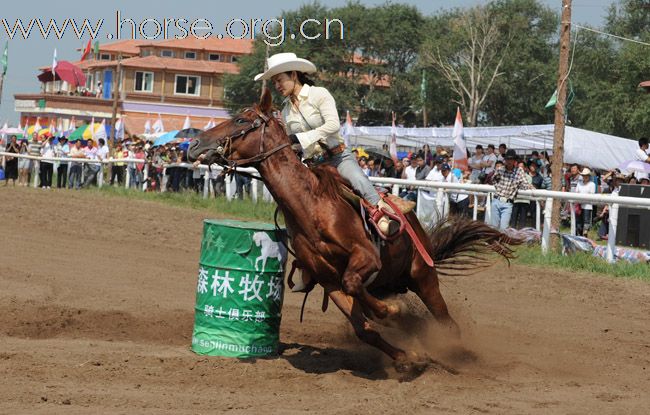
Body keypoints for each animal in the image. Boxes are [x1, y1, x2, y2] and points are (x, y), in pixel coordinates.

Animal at [186, 91, 516, 374]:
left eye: (243, 120)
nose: (194, 144)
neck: (312, 207)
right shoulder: (329, 280)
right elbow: (363, 327)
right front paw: (408, 358)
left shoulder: (366, 257)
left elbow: (357, 285)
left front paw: (392, 313)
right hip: (389, 281)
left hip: (423, 276)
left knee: (447, 322)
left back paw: (458, 354)